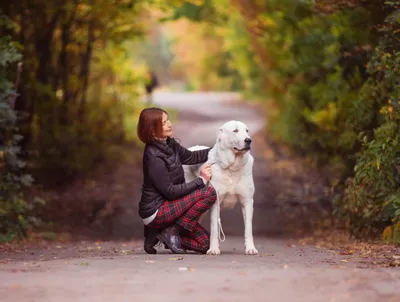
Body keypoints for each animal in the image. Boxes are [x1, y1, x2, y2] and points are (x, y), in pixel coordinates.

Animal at [183, 120, 258, 255]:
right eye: (235, 130)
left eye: (247, 131)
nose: (248, 140)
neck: (232, 167)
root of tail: (192, 148)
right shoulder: (215, 202)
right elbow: (214, 228)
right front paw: (213, 249)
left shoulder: (247, 201)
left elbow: (248, 229)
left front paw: (250, 248)